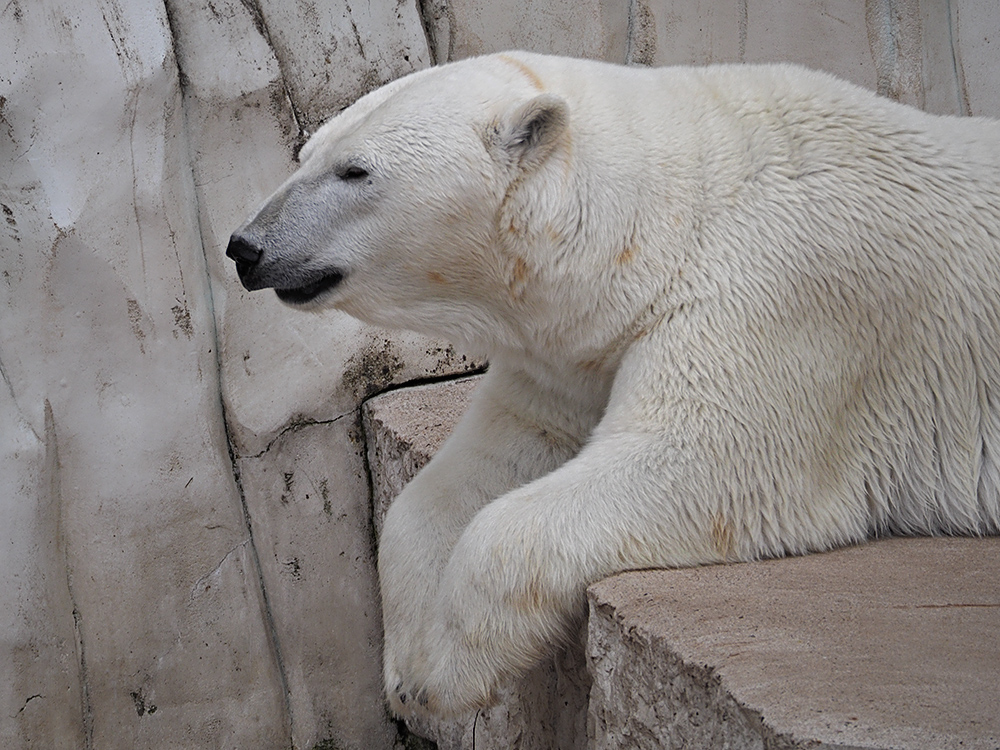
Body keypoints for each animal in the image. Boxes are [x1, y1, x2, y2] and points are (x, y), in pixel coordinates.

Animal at [227, 50, 1000, 720]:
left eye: (355, 170)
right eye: (307, 153)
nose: (245, 246)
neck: (674, 213)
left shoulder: (783, 296)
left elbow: (701, 459)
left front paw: (449, 670)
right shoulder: (573, 352)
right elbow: (492, 459)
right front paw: (409, 668)